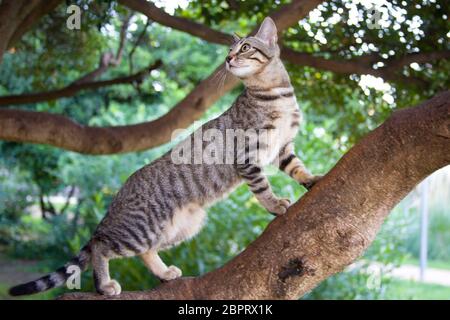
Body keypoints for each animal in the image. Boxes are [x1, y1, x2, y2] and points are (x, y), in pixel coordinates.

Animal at [8, 16, 322, 298]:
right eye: (229, 50)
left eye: (245, 47)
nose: (228, 59)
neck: (275, 94)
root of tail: (119, 196)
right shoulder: (247, 155)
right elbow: (262, 187)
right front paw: (274, 204)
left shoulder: (283, 147)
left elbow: (296, 167)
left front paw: (311, 179)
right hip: (139, 229)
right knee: (100, 243)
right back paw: (104, 285)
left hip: (182, 227)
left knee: (144, 250)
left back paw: (163, 272)